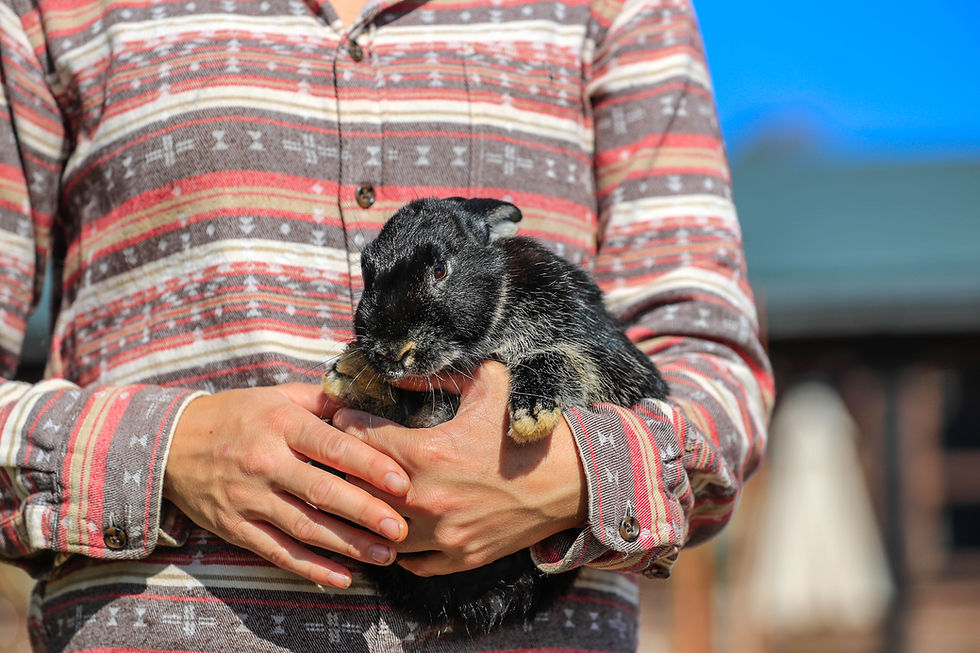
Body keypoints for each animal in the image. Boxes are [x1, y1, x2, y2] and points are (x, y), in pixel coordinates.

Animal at [322, 196, 669, 635]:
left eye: (440, 268)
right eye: (367, 271)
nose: (389, 351)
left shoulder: (608, 364)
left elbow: (565, 359)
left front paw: (531, 417)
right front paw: (350, 370)